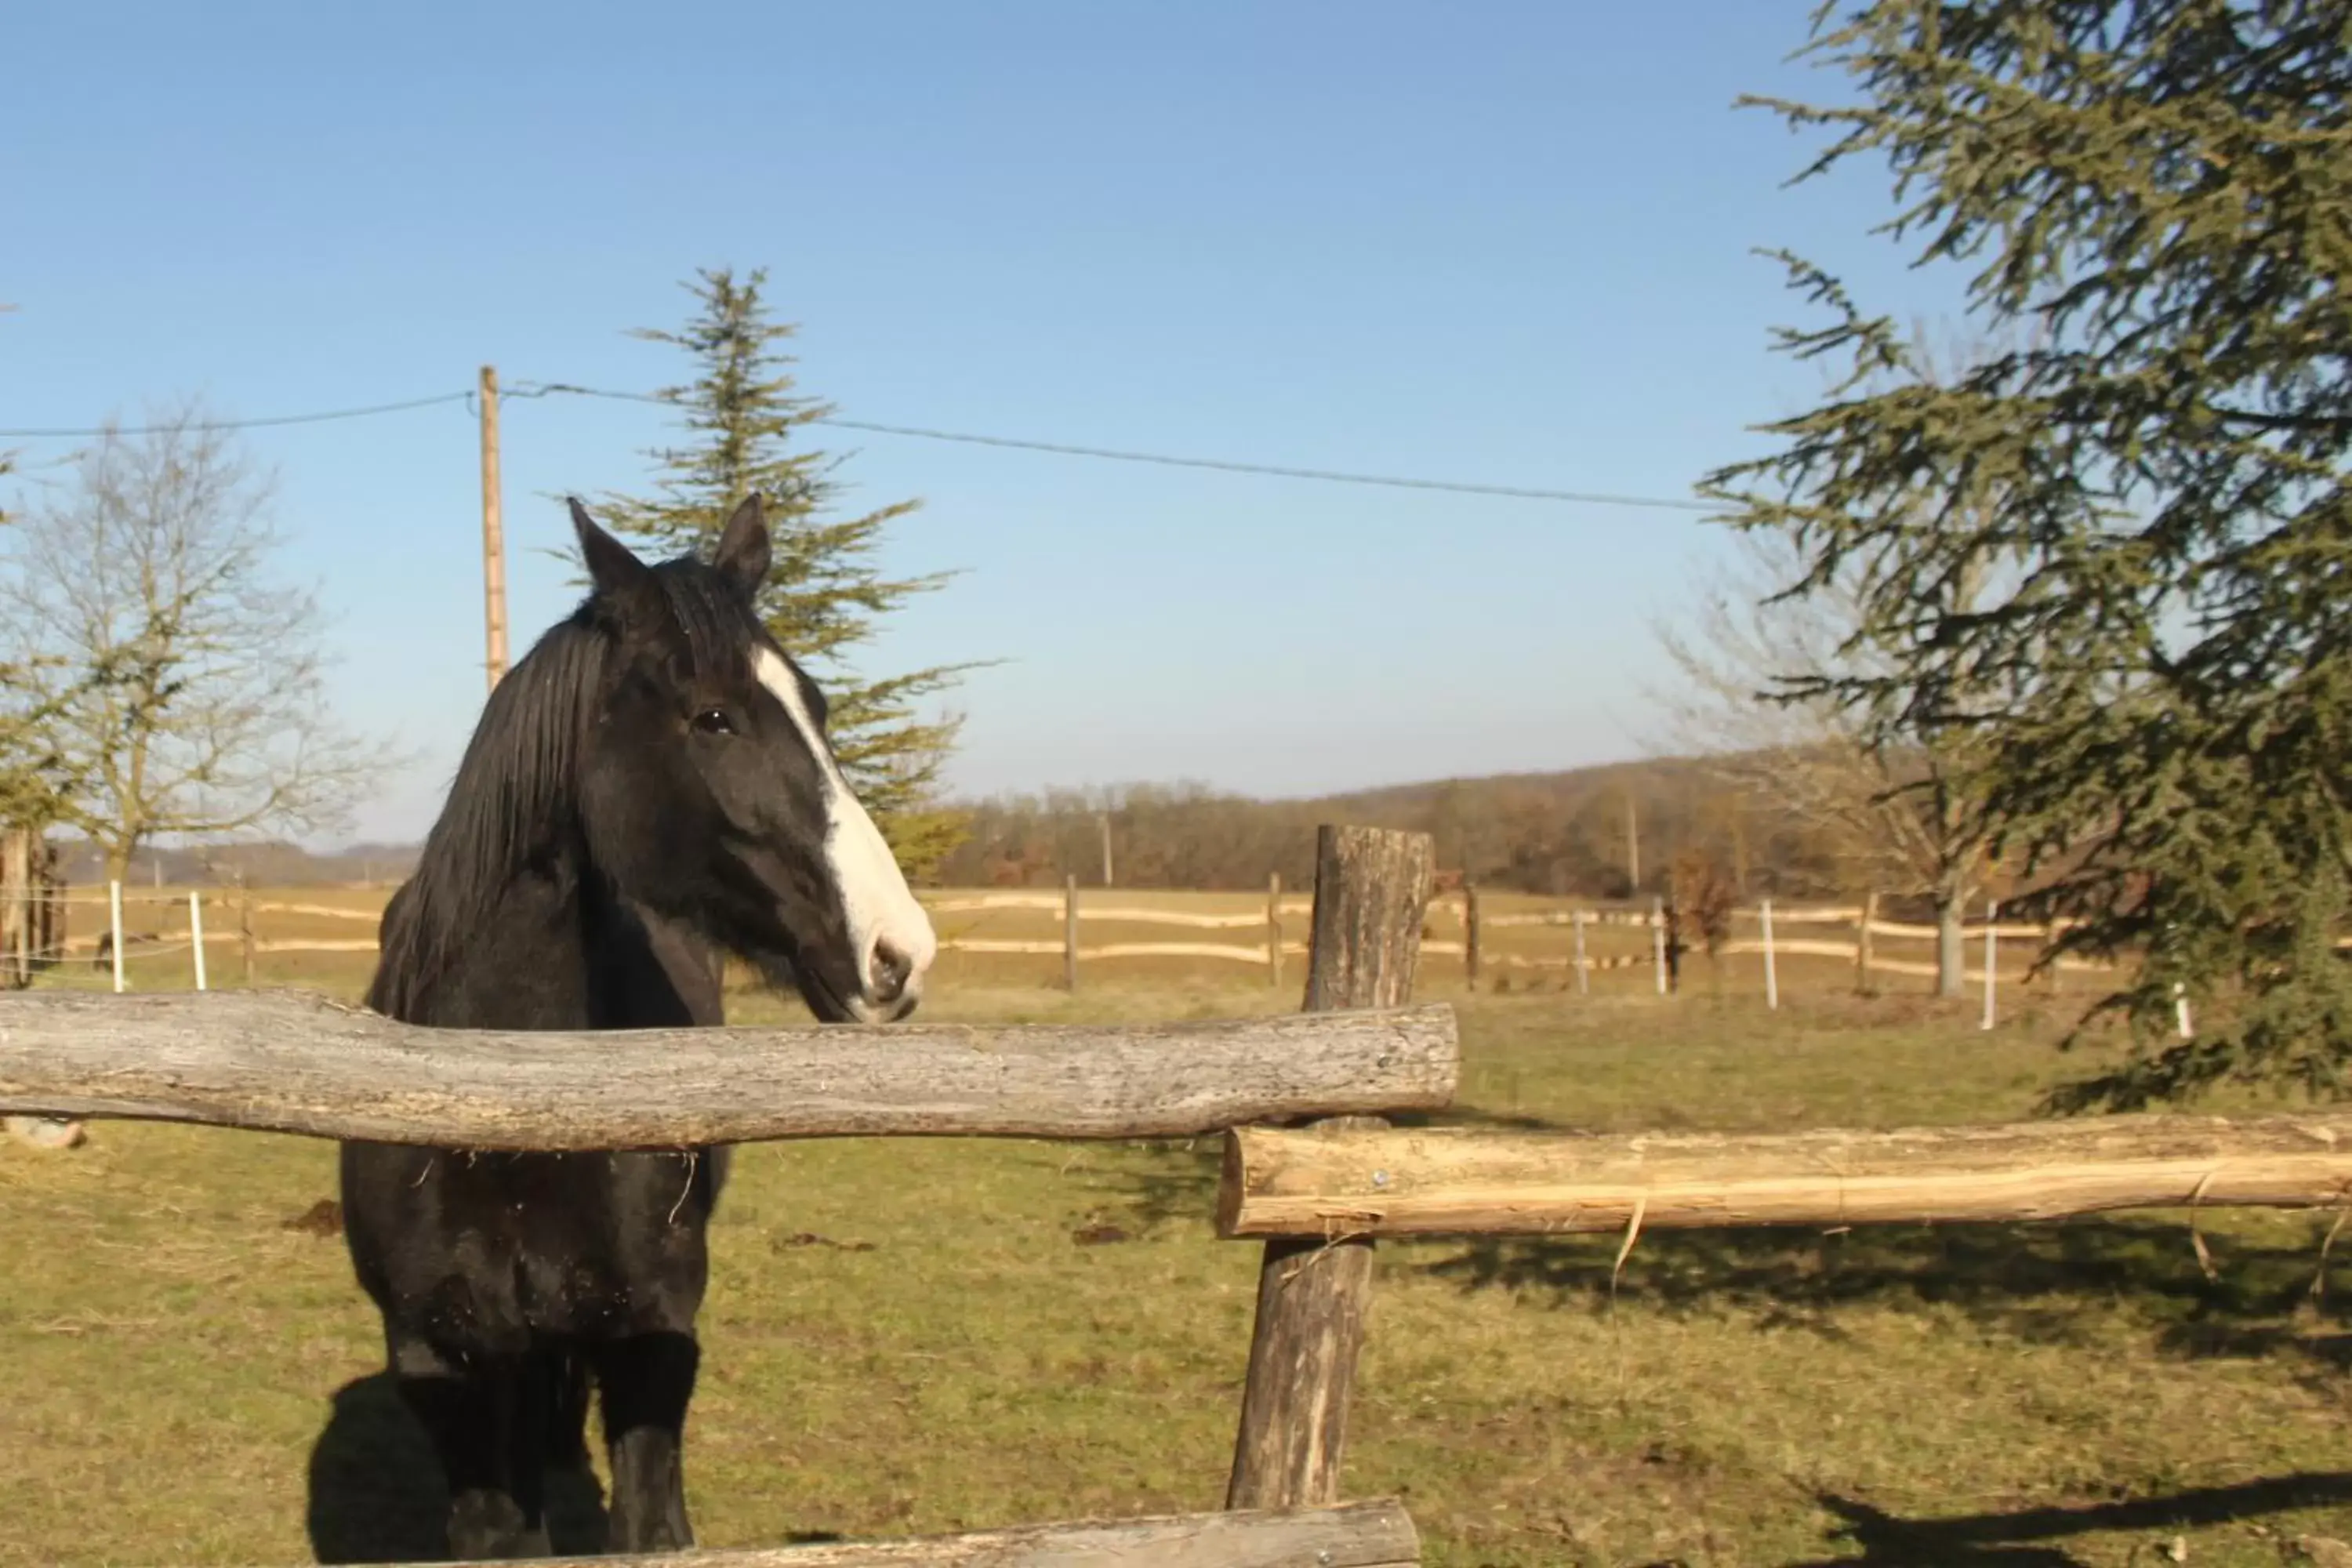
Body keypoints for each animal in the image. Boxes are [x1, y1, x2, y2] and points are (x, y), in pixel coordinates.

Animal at [339, 493, 936, 1561]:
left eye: (818, 706)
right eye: (713, 717)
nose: (899, 952)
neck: (507, 1118)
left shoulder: (654, 1338)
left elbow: (652, 1523)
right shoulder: (443, 1360)